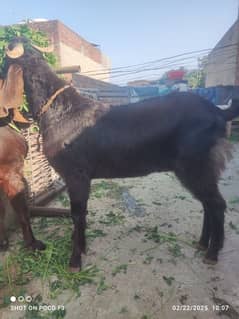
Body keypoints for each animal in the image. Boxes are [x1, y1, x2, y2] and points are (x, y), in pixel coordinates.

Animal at [4, 38, 239, 272]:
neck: (61, 112)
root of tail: (219, 112)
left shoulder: (76, 175)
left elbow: (78, 214)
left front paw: (75, 260)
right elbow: (81, 214)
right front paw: (81, 246)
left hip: (196, 164)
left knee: (216, 203)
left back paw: (212, 253)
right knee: (207, 203)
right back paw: (202, 243)